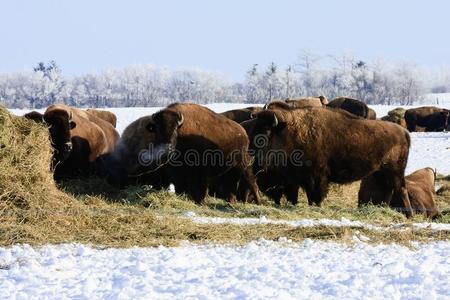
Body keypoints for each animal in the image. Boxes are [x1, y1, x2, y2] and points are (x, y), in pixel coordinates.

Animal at [107, 102, 258, 204]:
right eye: (157, 129)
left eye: (175, 130)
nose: (166, 149)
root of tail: (243, 132)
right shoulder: (176, 174)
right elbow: (181, 188)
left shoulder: (200, 172)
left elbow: (201, 189)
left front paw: (200, 202)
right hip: (229, 170)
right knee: (231, 185)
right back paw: (232, 201)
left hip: (243, 165)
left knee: (251, 181)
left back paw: (257, 201)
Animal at [243, 105, 412, 216]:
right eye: (254, 128)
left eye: (266, 131)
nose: (251, 150)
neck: (289, 132)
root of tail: (404, 132)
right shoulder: (304, 179)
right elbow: (309, 196)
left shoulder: (317, 176)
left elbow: (317, 195)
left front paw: (317, 207)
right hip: (381, 172)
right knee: (389, 190)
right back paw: (385, 209)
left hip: (395, 171)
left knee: (401, 189)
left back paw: (409, 214)